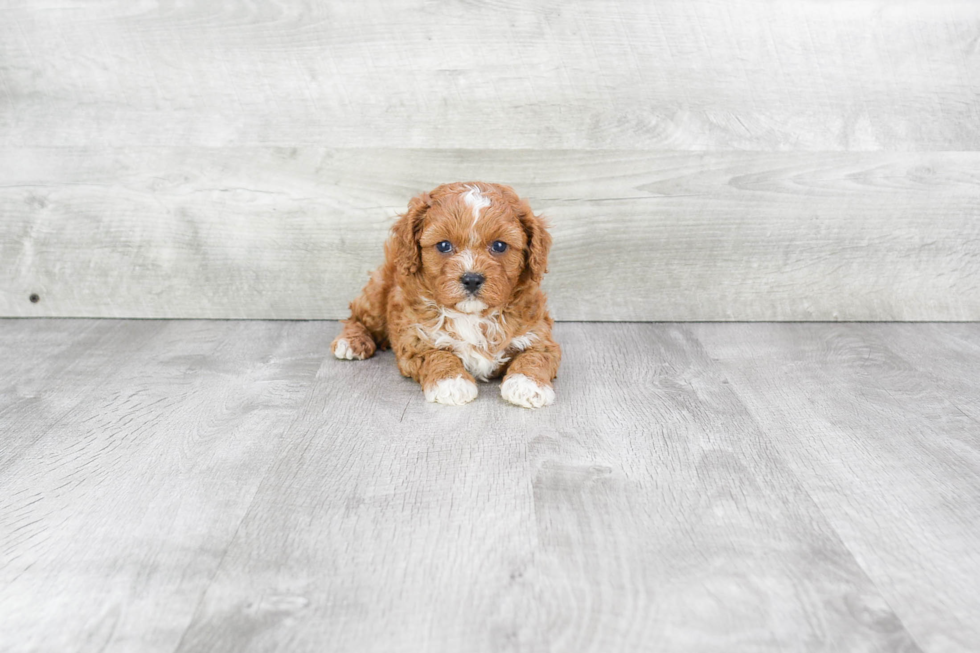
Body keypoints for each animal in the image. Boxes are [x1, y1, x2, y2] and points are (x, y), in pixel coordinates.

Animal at [334, 182, 560, 408]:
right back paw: (351, 342)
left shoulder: (539, 335)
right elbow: (437, 354)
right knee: (357, 317)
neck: (473, 316)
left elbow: (536, 356)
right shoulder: (416, 339)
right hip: (377, 294)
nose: (471, 279)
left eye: (499, 245)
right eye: (444, 245)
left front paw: (527, 385)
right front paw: (451, 382)